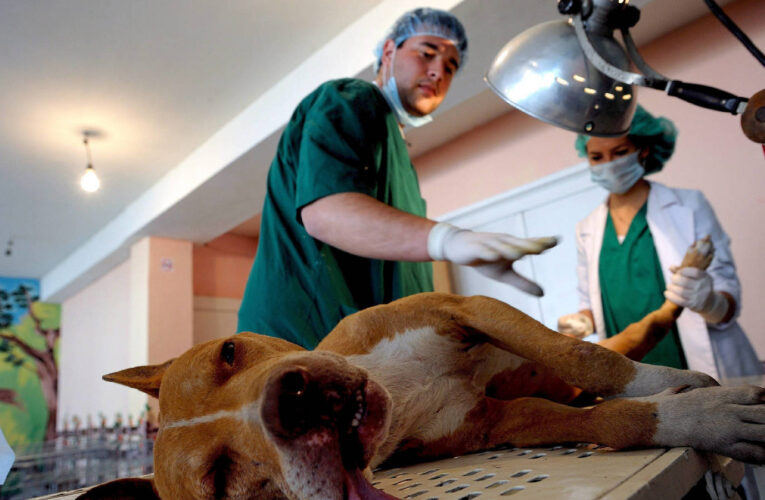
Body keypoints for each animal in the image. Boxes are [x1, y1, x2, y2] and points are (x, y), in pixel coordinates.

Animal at [80, 238, 760, 500]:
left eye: (228, 351)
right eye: (220, 481)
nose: (293, 399)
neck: (398, 394)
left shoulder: (468, 309)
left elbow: (586, 357)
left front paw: (687, 398)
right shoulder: (499, 423)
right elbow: (614, 421)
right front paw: (703, 419)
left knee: (631, 329)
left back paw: (693, 276)